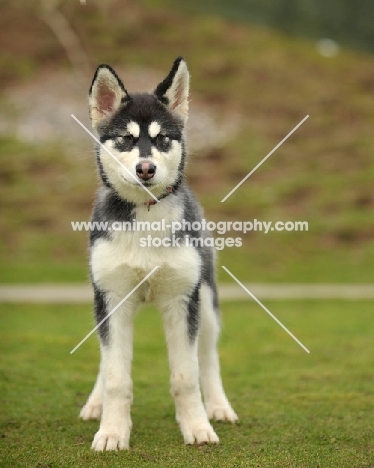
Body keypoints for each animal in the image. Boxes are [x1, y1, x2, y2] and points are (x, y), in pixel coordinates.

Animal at [79, 57, 238, 450]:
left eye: (162, 138)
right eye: (126, 138)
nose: (146, 168)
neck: (144, 216)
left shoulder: (182, 300)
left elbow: (187, 375)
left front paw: (197, 427)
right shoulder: (112, 298)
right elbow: (116, 375)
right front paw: (111, 432)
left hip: (206, 302)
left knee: (208, 358)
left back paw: (219, 406)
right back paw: (95, 404)